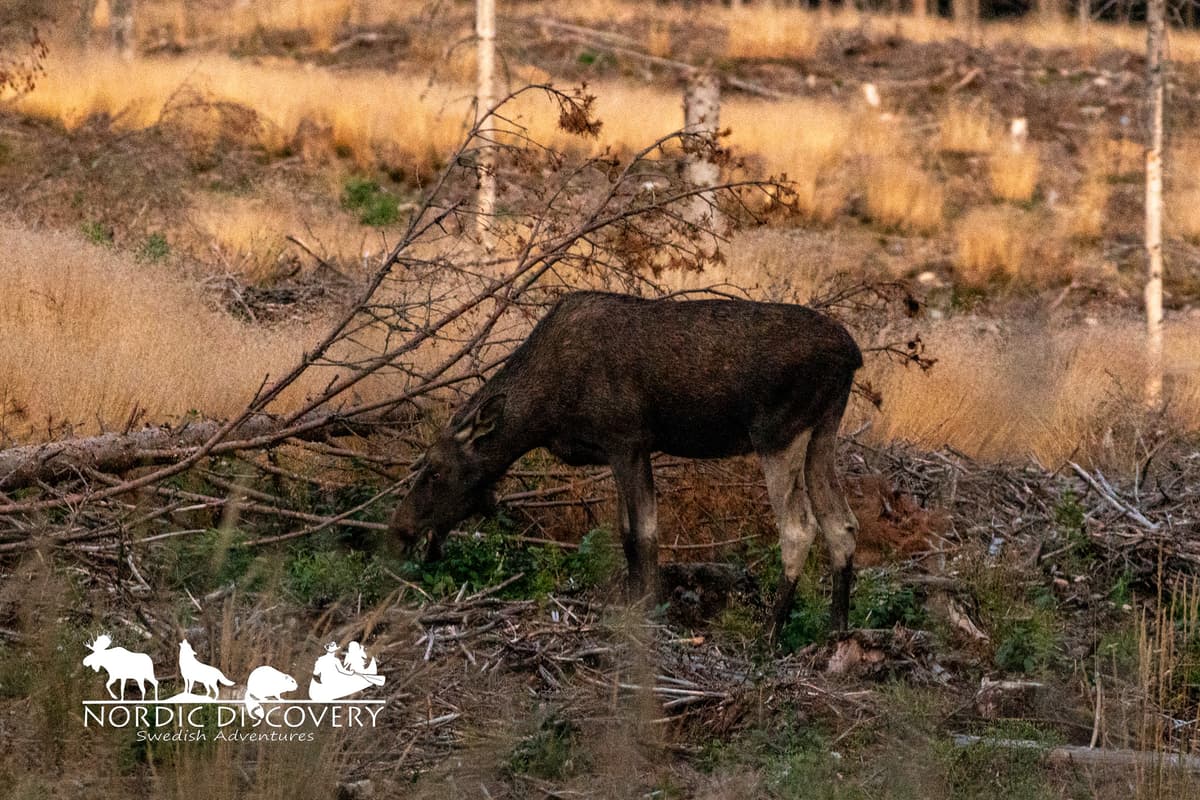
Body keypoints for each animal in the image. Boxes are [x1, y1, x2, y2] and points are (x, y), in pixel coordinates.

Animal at [389, 291, 862, 638]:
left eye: (435, 469)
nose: (400, 528)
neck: (545, 413)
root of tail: (853, 355)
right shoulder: (618, 450)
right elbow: (626, 533)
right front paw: (632, 602)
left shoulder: (627, 440)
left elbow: (645, 533)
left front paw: (650, 610)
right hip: (822, 432)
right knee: (842, 524)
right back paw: (836, 630)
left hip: (778, 434)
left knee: (799, 528)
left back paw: (769, 631)